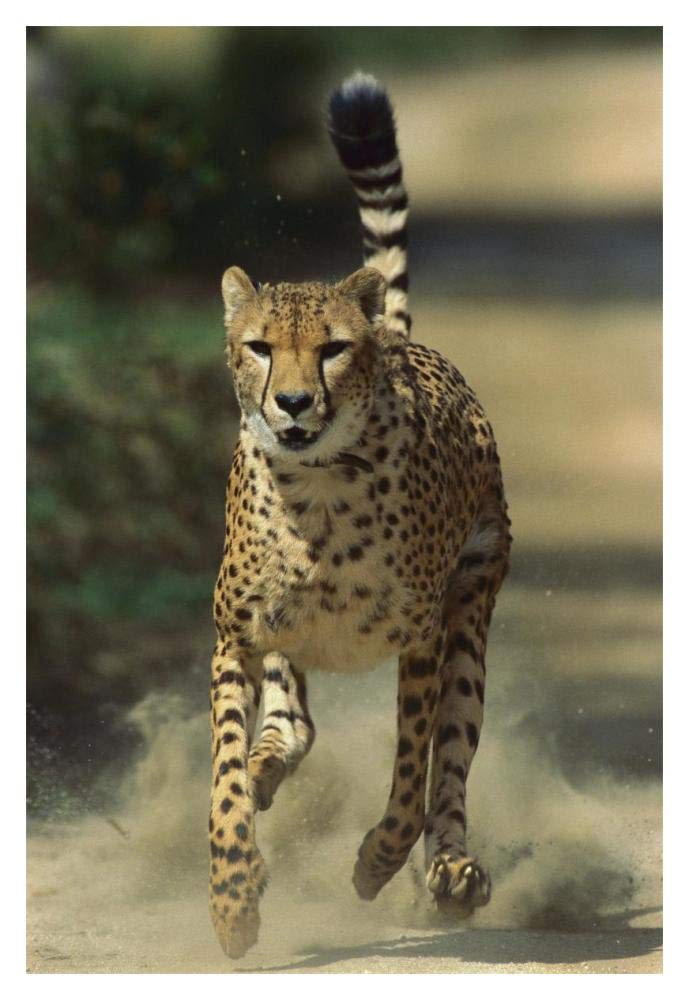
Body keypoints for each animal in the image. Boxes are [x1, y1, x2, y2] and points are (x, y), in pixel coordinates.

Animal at [208, 71, 511, 959]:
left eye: (332, 348)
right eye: (260, 346)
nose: (293, 403)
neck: (315, 491)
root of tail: (406, 340)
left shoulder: (422, 638)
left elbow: (411, 774)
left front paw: (377, 860)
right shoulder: (237, 637)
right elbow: (224, 778)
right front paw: (233, 900)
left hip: (471, 614)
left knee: (449, 768)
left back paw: (451, 873)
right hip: (286, 649)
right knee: (293, 727)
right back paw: (272, 774)